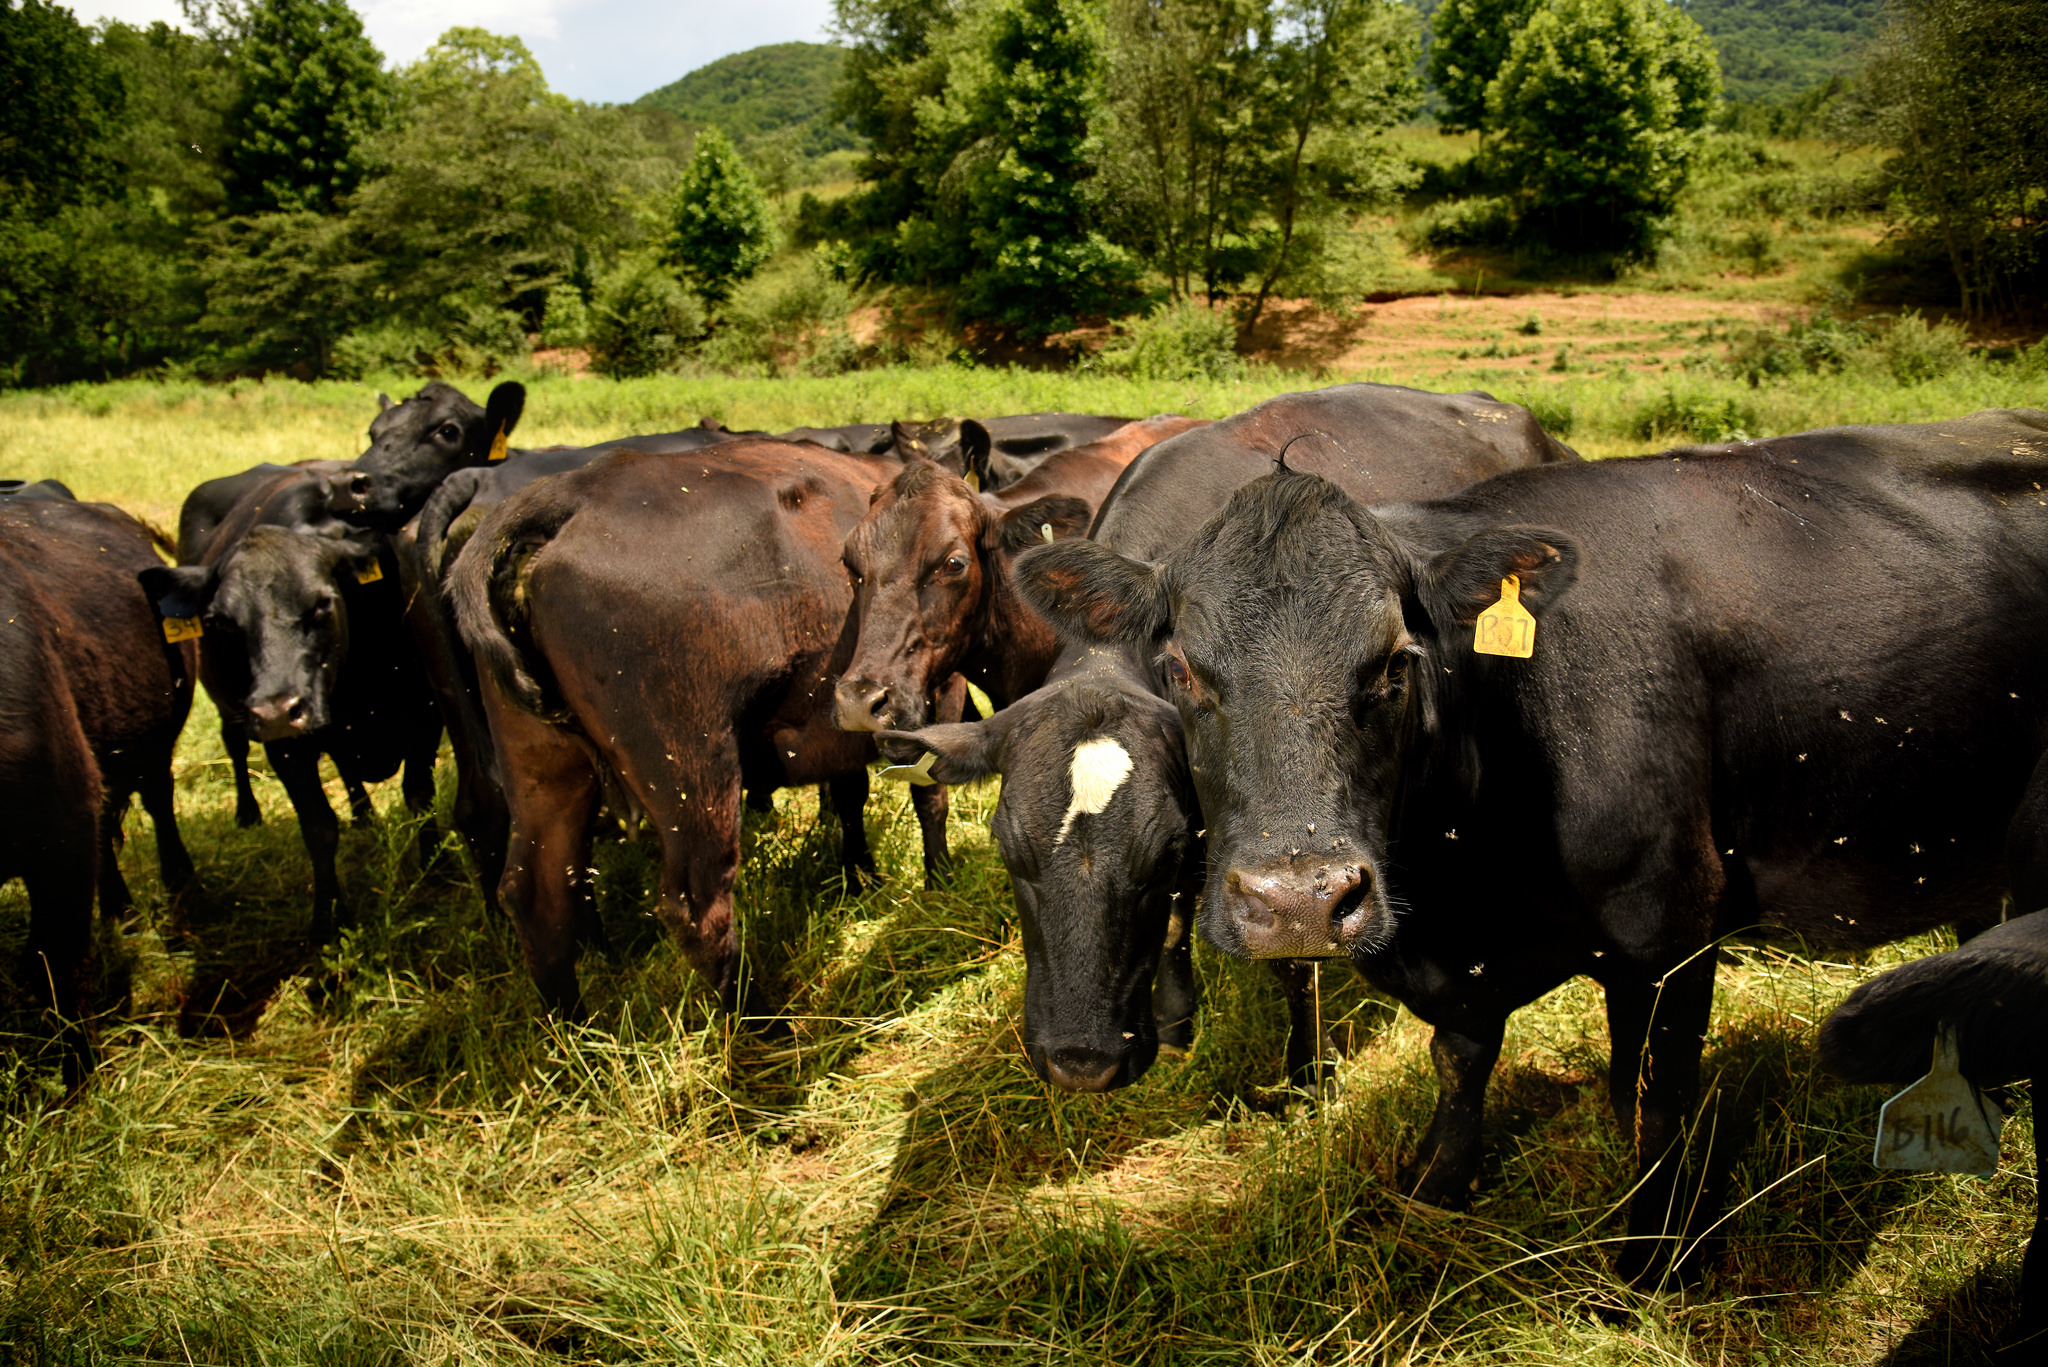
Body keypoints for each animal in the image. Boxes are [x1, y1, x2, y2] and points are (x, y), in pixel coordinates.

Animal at [2, 498, 197, 1082]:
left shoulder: (60, 832)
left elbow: (61, 967)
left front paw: (78, 1080)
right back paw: (123, 913)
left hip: (154, 746)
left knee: (158, 805)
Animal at [142, 471, 442, 942]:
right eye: (219, 622)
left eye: (321, 603)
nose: (278, 711)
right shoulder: (286, 747)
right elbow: (319, 827)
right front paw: (328, 918)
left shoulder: (425, 715)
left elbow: (419, 796)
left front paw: (436, 868)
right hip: (233, 711)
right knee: (236, 745)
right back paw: (248, 812)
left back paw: (364, 816)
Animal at [448, 444, 950, 1020]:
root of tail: (575, 491)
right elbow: (930, 797)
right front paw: (941, 881)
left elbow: (851, 796)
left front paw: (862, 876)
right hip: (692, 772)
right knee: (699, 908)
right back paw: (761, 1025)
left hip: (544, 772)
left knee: (537, 896)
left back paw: (571, 1029)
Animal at [872, 383, 1572, 1090]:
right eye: (1010, 850)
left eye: (1160, 853)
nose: (1081, 1062)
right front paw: (1178, 1020)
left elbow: (1288, 950)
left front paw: (1307, 1066)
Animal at [1024, 405, 2048, 1287]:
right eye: (1183, 669)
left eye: (1397, 661)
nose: (1299, 902)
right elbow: (1462, 1059)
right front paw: (1438, 1182)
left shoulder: (1673, 935)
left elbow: (1658, 1099)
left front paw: (1649, 1259)